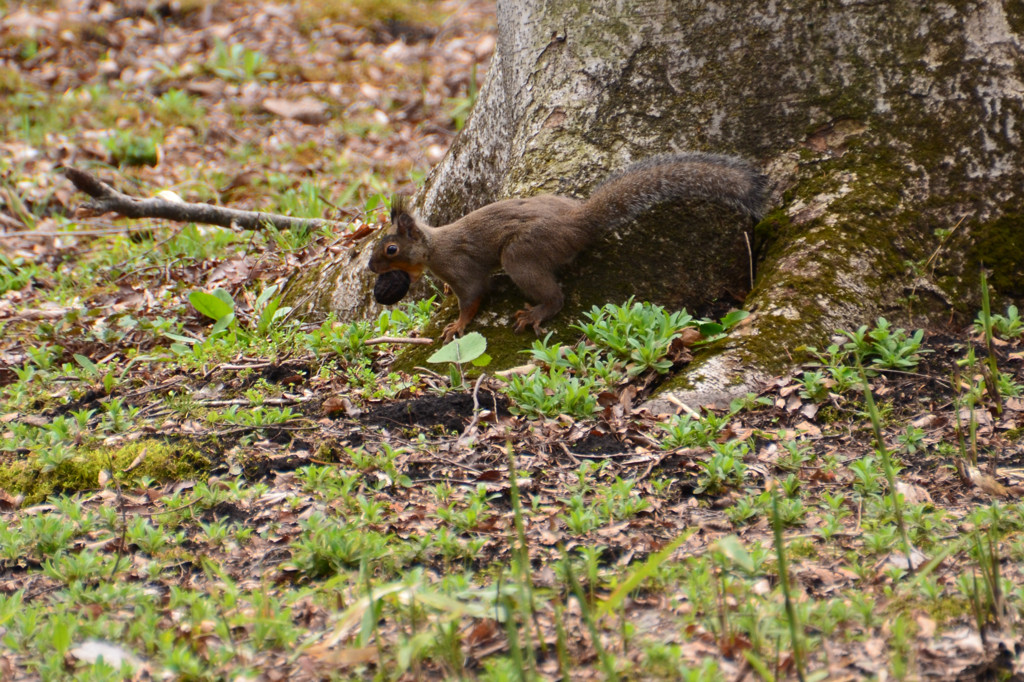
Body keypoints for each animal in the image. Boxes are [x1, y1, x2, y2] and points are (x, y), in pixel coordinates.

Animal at [372, 150, 765, 337]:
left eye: (391, 250)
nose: (372, 268)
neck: (433, 247)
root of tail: (578, 222)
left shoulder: (460, 268)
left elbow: (473, 297)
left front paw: (457, 325)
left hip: (521, 255)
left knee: (555, 296)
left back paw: (536, 313)